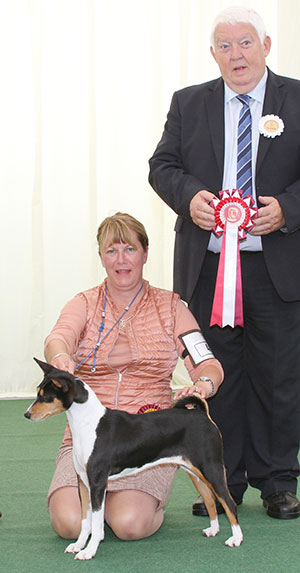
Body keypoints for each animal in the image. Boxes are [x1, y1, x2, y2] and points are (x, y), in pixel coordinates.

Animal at [24, 358, 244, 560]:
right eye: (37, 392)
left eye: (45, 397)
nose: (26, 414)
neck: (88, 424)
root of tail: (202, 415)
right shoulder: (83, 482)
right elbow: (85, 520)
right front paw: (78, 545)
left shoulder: (97, 483)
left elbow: (96, 523)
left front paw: (89, 551)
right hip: (194, 472)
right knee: (209, 499)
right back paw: (213, 529)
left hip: (211, 468)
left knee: (229, 503)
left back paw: (236, 539)